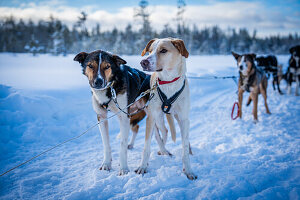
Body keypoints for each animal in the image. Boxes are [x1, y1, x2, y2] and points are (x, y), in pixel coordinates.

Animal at [136, 37, 197, 180]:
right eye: (150, 51)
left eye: (163, 50)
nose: (143, 62)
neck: (168, 82)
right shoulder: (151, 117)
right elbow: (146, 146)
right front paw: (143, 167)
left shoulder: (184, 118)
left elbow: (184, 146)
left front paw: (188, 170)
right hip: (158, 118)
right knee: (163, 131)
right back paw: (162, 150)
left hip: (178, 118)